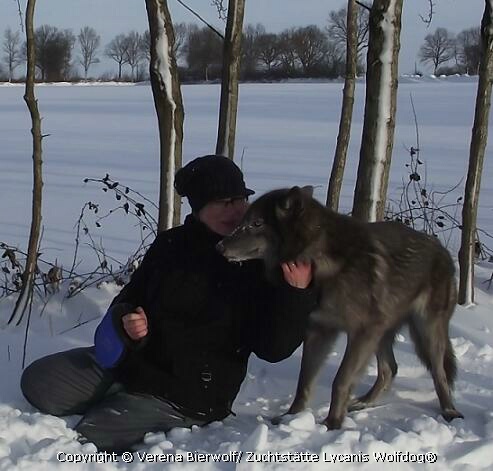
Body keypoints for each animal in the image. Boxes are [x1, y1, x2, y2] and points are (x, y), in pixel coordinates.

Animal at [215, 186, 462, 430]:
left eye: (256, 223)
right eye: (243, 220)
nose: (219, 247)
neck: (319, 261)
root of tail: (443, 250)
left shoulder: (361, 333)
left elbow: (341, 380)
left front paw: (332, 423)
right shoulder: (319, 330)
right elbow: (304, 381)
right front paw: (291, 417)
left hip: (425, 330)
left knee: (439, 373)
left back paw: (450, 411)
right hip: (383, 332)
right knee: (389, 369)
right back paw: (362, 403)